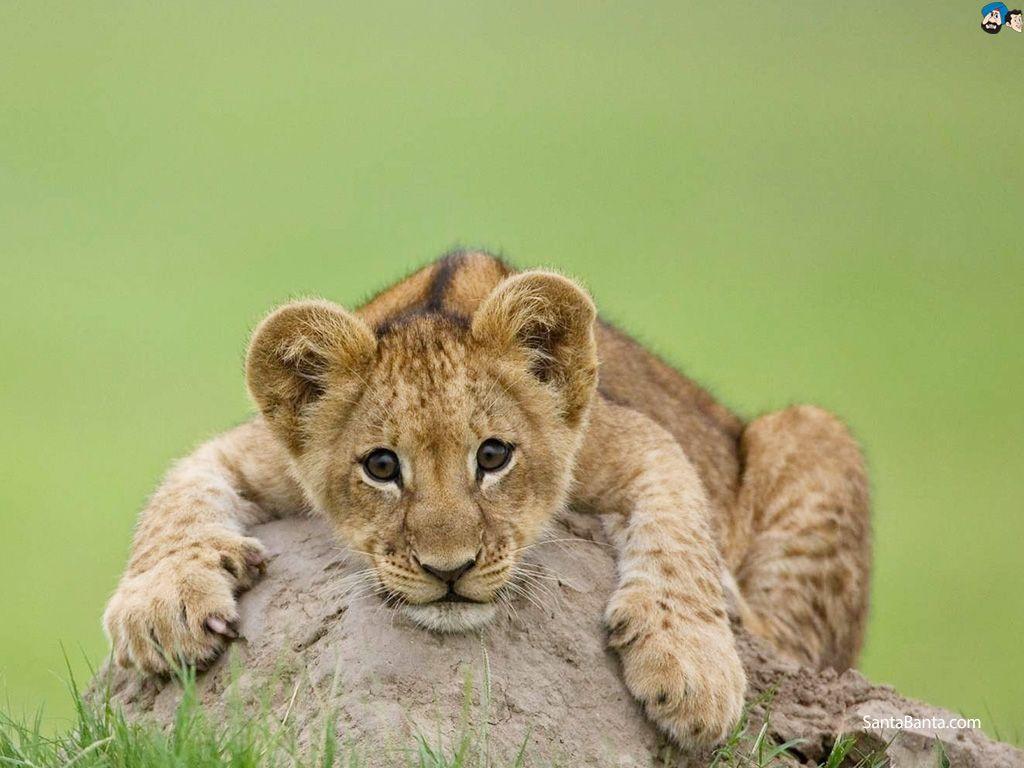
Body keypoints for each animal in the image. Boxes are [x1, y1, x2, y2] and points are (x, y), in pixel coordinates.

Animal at [103, 251, 871, 747]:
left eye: (494, 456)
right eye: (382, 466)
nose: (450, 571)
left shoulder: (633, 436)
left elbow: (681, 527)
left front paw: (691, 666)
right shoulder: (253, 450)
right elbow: (176, 495)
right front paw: (161, 608)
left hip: (815, 431)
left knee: (796, 644)